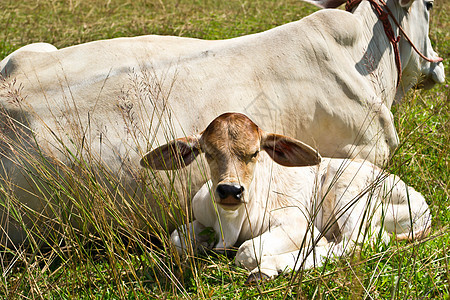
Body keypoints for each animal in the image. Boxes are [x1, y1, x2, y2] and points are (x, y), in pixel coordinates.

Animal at [142, 112, 430, 284]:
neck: (231, 222)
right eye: (208, 153)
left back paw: (270, 268)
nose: (230, 191)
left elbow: (246, 251)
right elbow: (175, 239)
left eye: (255, 153)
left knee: (354, 244)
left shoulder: (297, 224)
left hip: (348, 193)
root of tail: (423, 208)